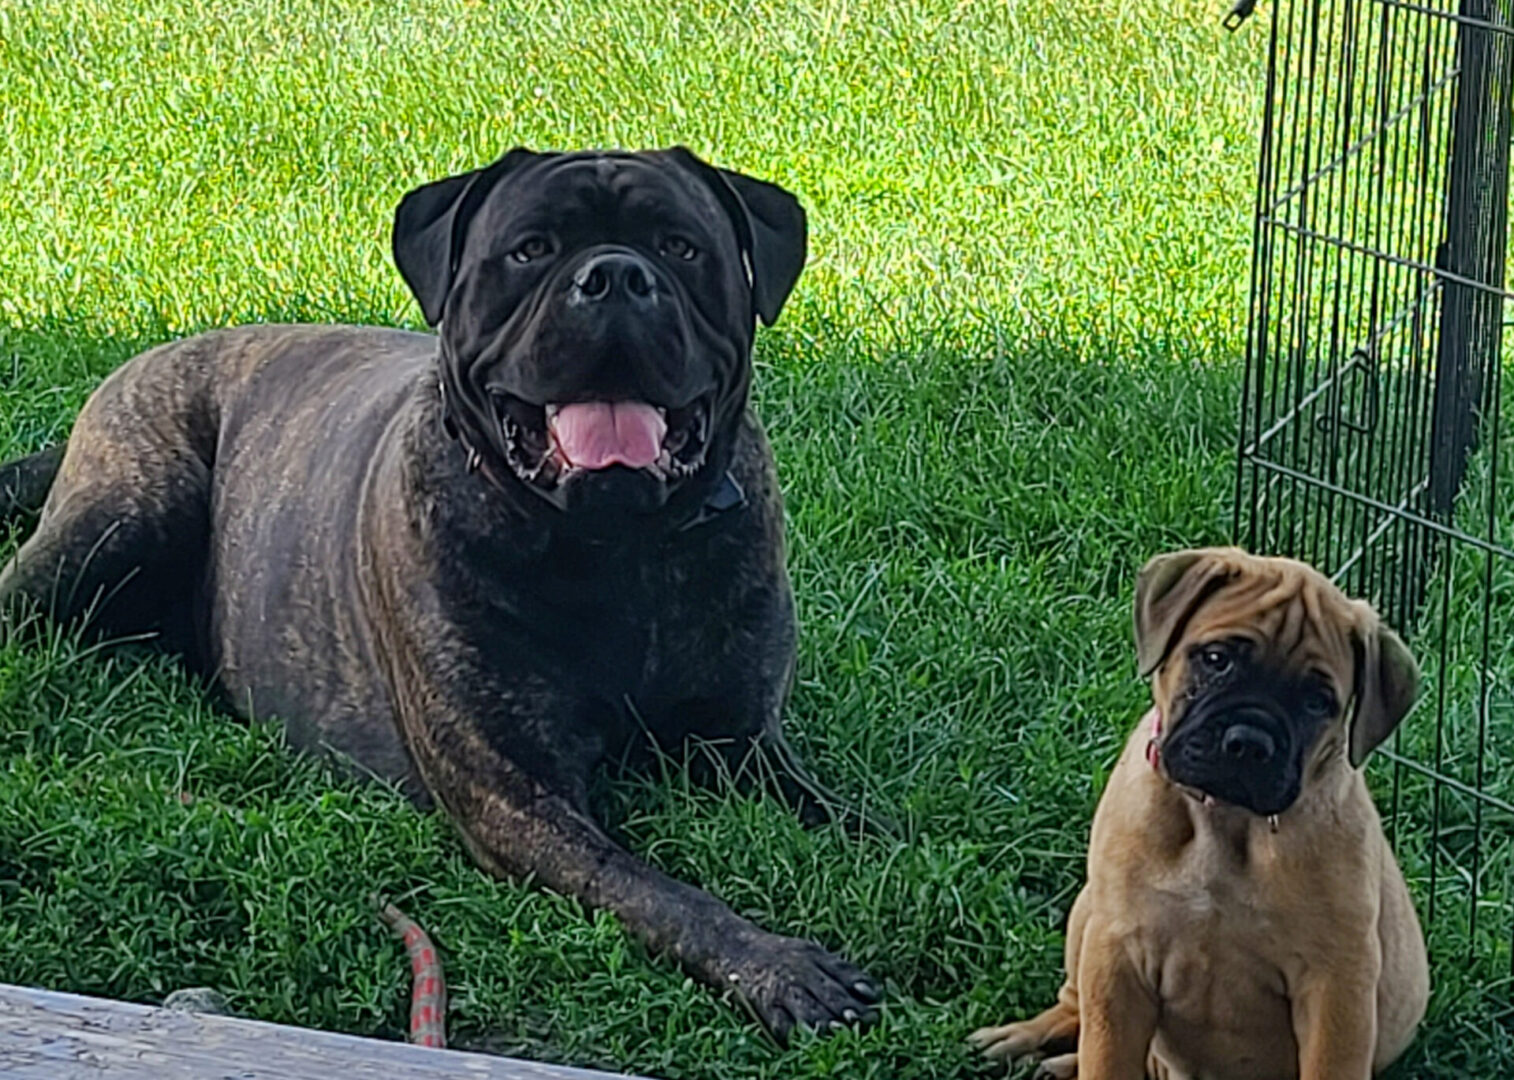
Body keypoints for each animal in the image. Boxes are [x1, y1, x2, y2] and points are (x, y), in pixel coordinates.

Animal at [0, 147, 878, 1042]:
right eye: (530, 250)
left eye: (680, 246)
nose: (614, 276)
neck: (615, 547)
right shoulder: (517, 799)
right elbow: (661, 893)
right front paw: (779, 967)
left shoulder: (743, 745)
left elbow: (856, 823)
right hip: (119, 521)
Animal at [975, 548, 1423, 1078]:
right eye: (1216, 659)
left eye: (1318, 703)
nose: (1249, 742)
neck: (1225, 821)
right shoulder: (1117, 954)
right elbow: (1106, 1056)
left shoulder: (1335, 987)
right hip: (1089, 914)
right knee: (1074, 1007)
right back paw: (1022, 1039)